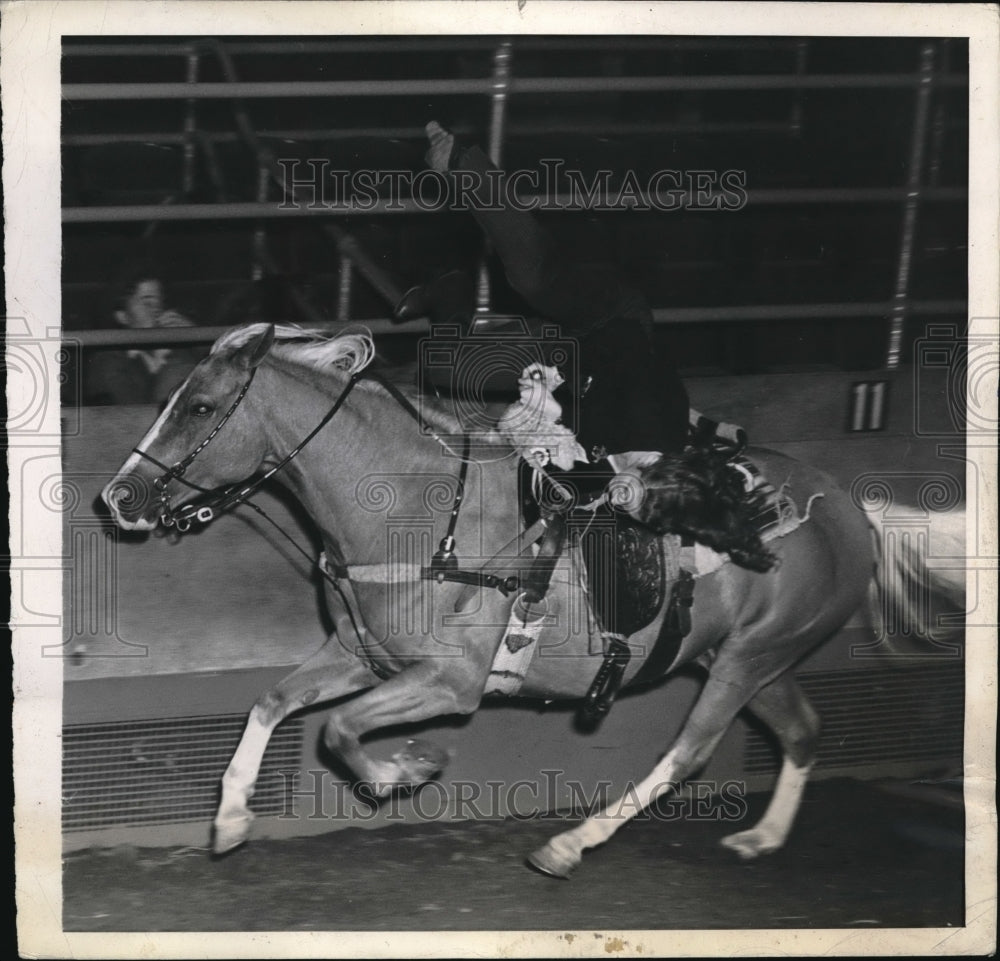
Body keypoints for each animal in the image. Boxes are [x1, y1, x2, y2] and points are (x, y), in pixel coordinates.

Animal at [101, 324, 952, 876]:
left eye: (200, 407)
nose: (120, 497)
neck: (423, 514)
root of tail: (848, 508)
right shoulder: (358, 653)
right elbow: (273, 703)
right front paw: (231, 816)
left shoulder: (450, 682)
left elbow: (341, 730)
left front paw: (409, 766)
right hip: (753, 658)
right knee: (802, 730)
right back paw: (763, 837)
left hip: (747, 659)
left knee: (690, 751)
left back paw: (569, 843)